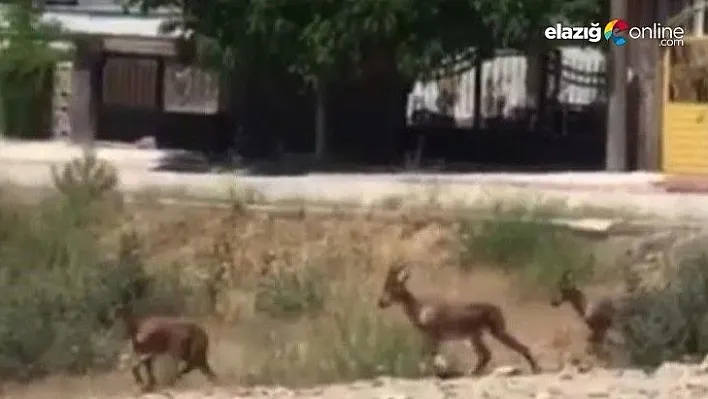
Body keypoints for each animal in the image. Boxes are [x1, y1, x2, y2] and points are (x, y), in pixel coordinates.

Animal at [378, 264, 540, 376]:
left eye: (391, 286)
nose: (381, 303)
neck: (420, 309)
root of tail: (497, 309)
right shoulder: (432, 338)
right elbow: (430, 356)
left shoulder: (434, 336)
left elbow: (429, 356)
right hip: (475, 337)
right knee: (486, 355)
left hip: (494, 332)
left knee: (514, 349)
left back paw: (535, 369)